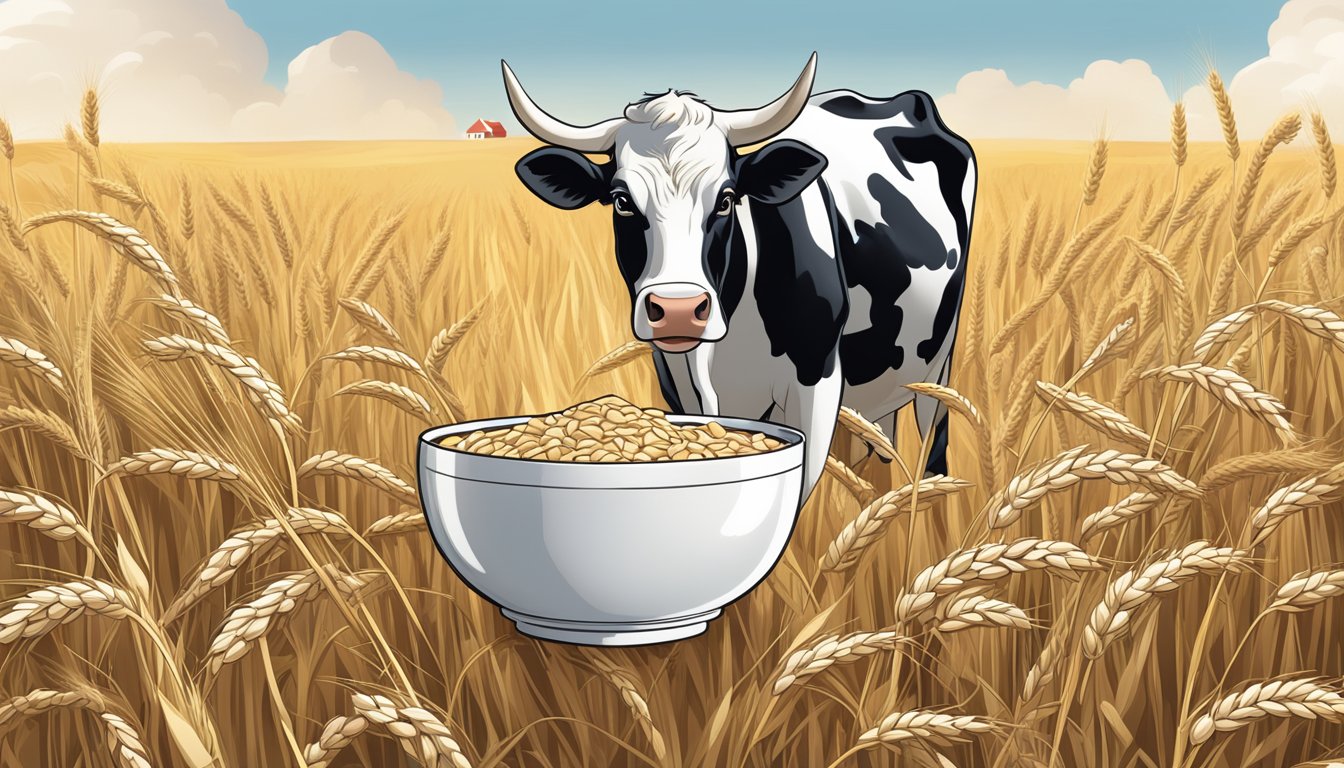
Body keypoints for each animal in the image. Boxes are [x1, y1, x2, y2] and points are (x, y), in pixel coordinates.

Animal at [505, 52, 978, 497]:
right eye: (621, 201)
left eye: (727, 198)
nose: (678, 310)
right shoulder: (680, 382)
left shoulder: (817, 383)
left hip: (939, 364)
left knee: (933, 445)